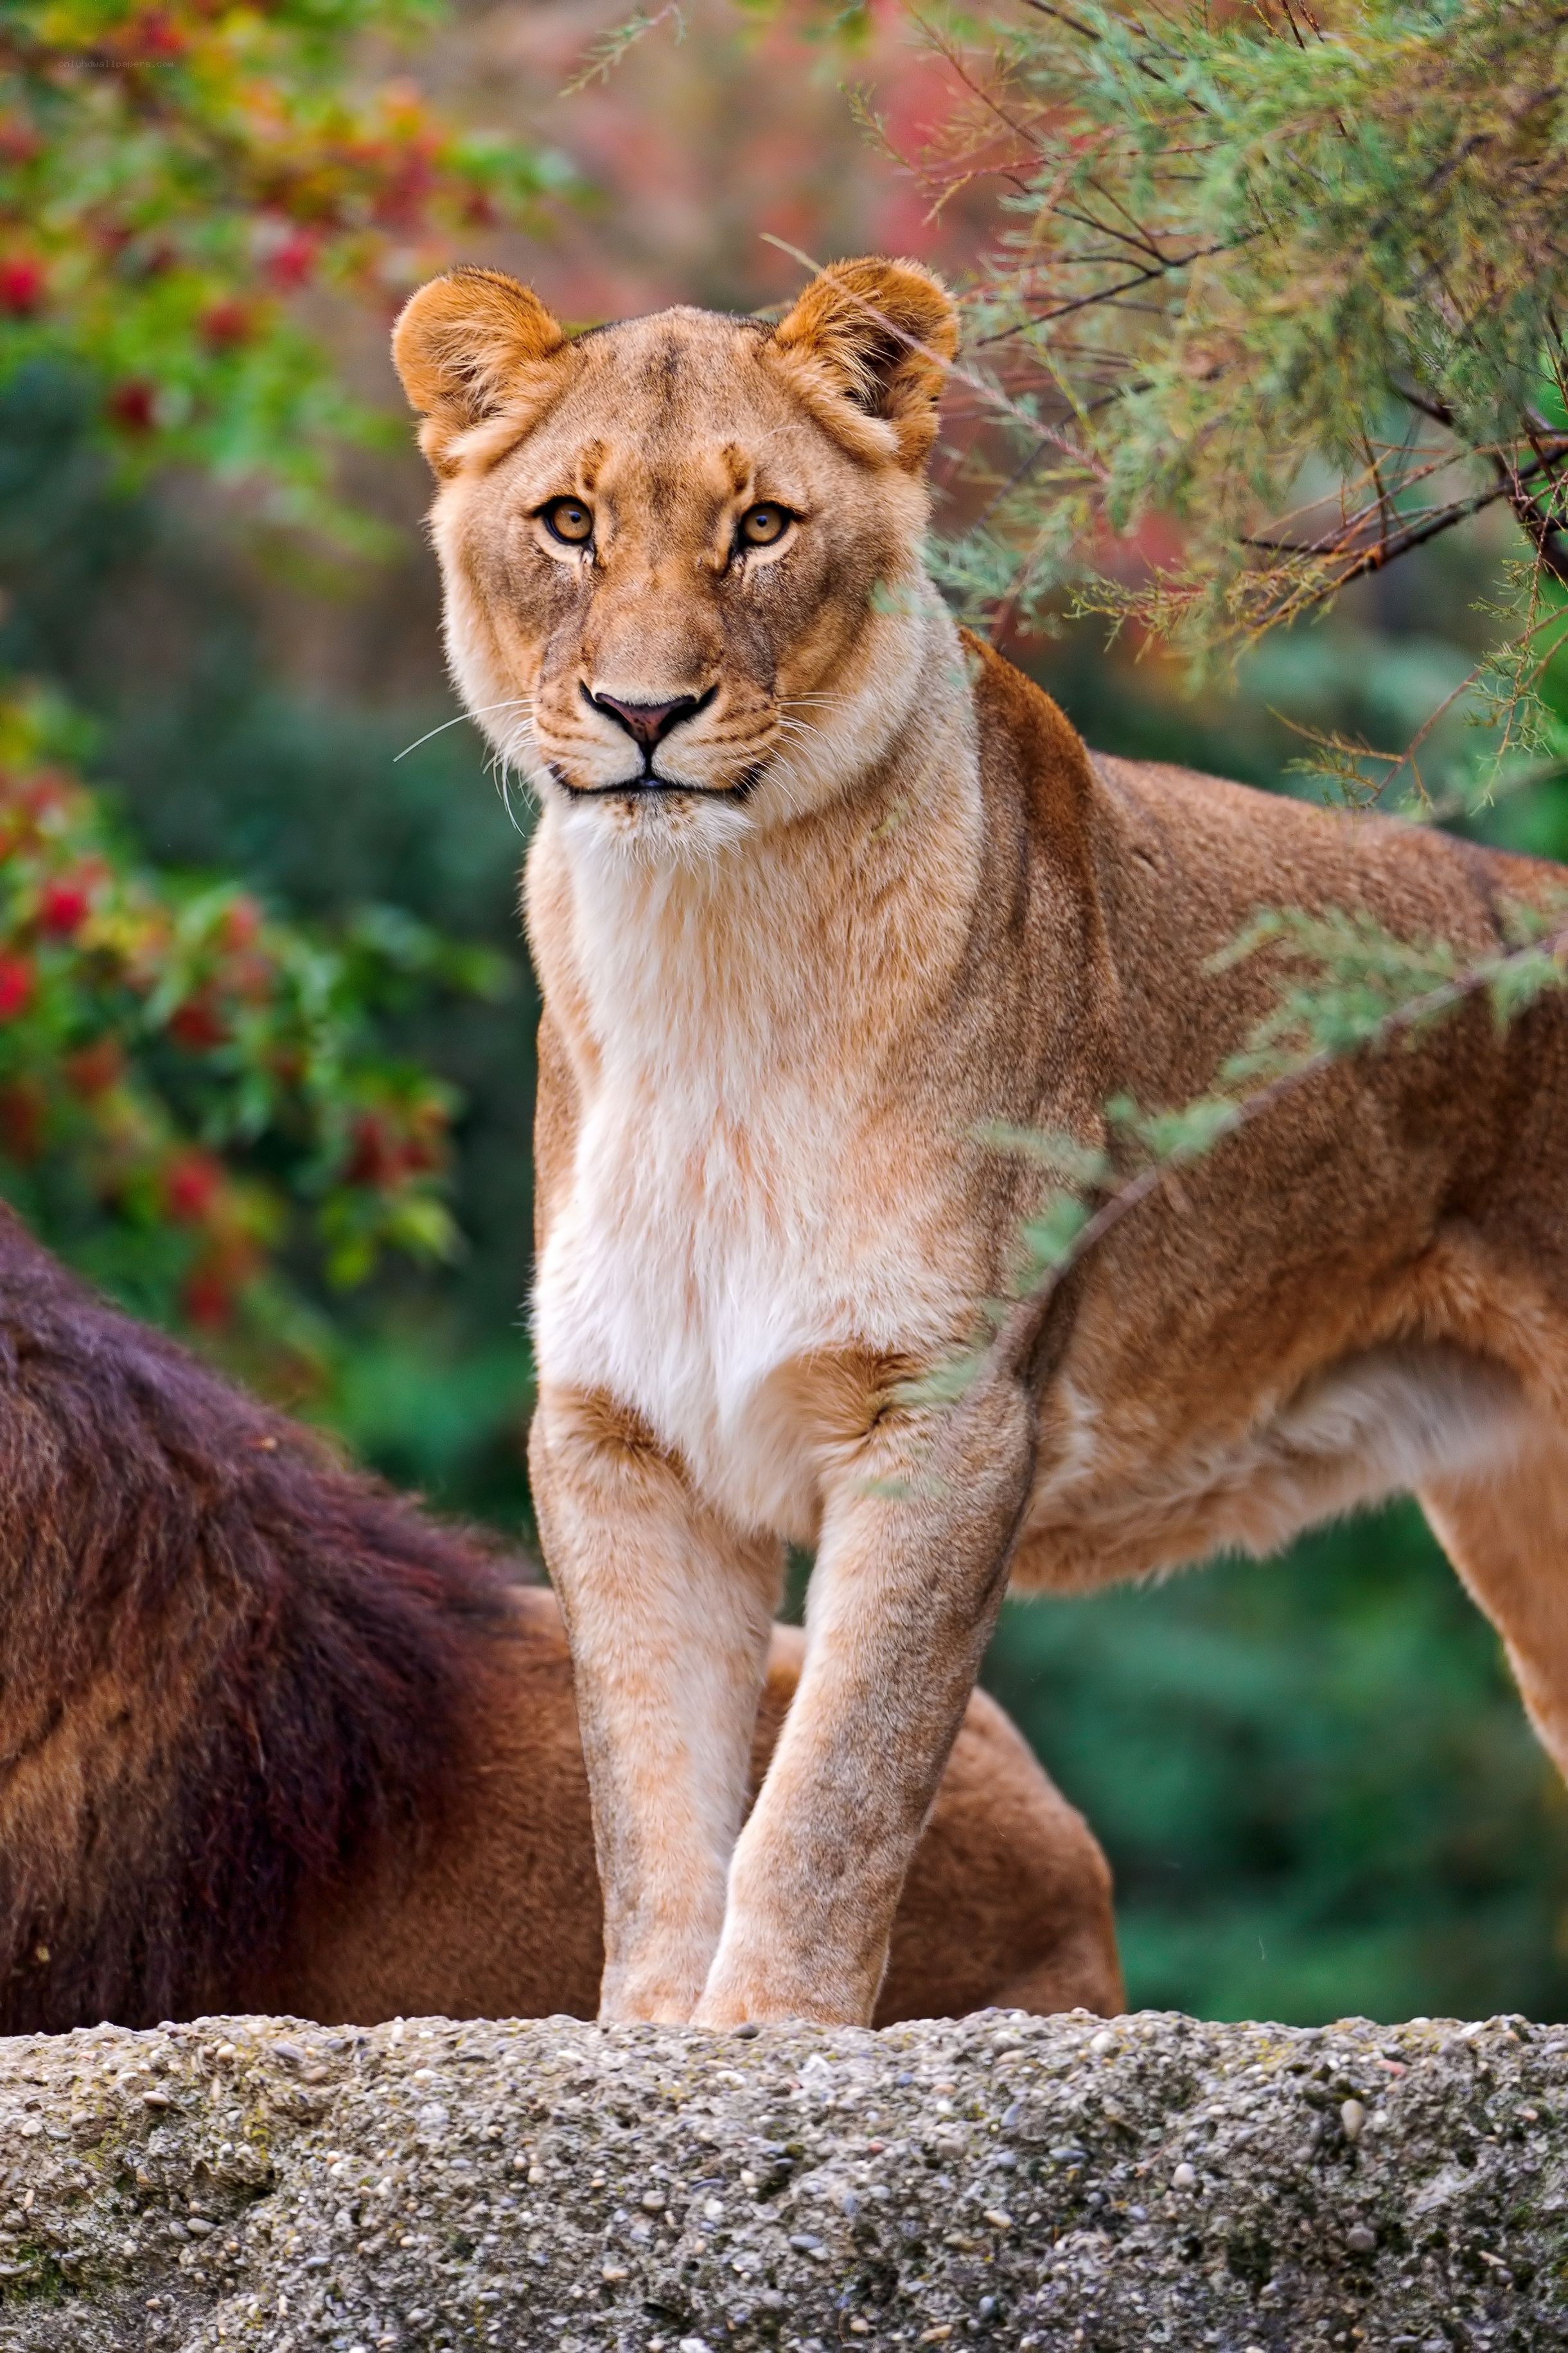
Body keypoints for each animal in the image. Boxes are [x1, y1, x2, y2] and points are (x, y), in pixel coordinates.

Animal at [392, 253, 1568, 2030]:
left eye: (761, 526)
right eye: (568, 523)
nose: (644, 711)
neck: (707, 943)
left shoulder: (945, 1407)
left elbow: (834, 1784)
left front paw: (770, 2032)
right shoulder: (622, 1426)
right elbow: (648, 1792)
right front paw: (650, 2033)